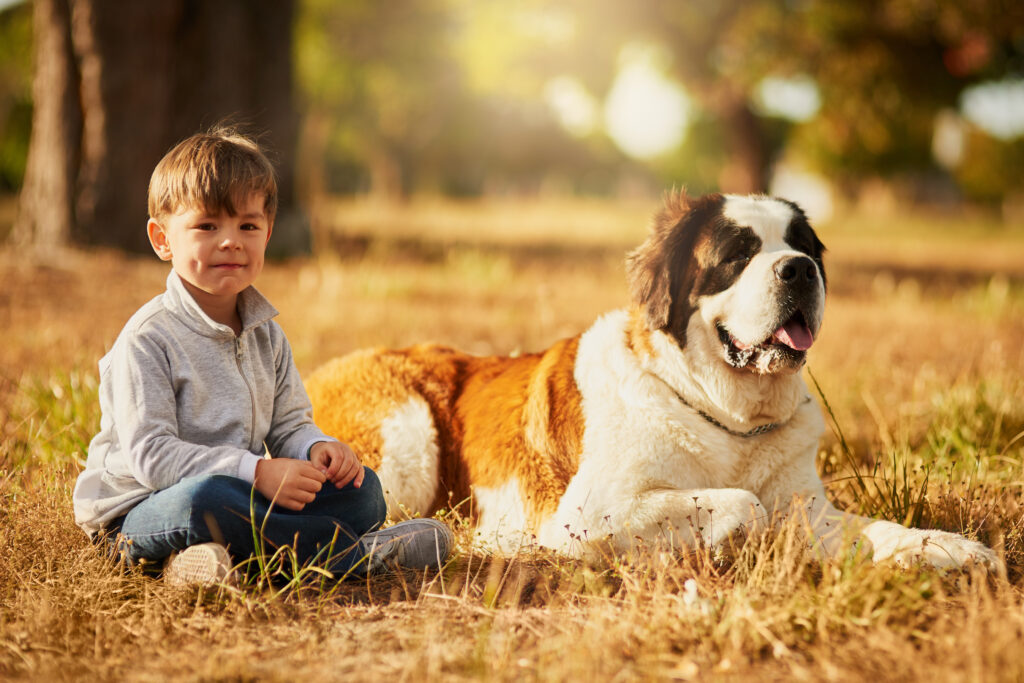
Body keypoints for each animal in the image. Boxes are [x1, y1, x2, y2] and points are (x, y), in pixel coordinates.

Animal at [303, 192, 991, 573]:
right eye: (738, 255)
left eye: (807, 248)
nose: (798, 270)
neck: (727, 419)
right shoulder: (588, 513)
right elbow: (743, 503)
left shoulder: (809, 506)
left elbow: (865, 527)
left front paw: (945, 549)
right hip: (404, 440)